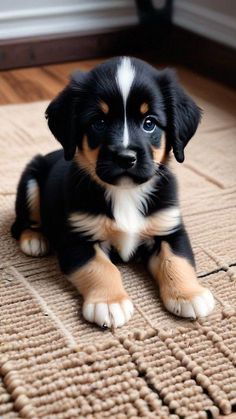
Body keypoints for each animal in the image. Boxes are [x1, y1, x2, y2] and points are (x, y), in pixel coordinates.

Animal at [11, 57, 214, 330]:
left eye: (149, 123)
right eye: (99, 122)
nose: (126, 157)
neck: (125, 192)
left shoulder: (169, 229)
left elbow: (177, 261)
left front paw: (189, 294)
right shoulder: (78, 238)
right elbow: (101, 267)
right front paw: (109, 302)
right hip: (31, 180)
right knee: (21, 222)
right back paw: (35, 239)